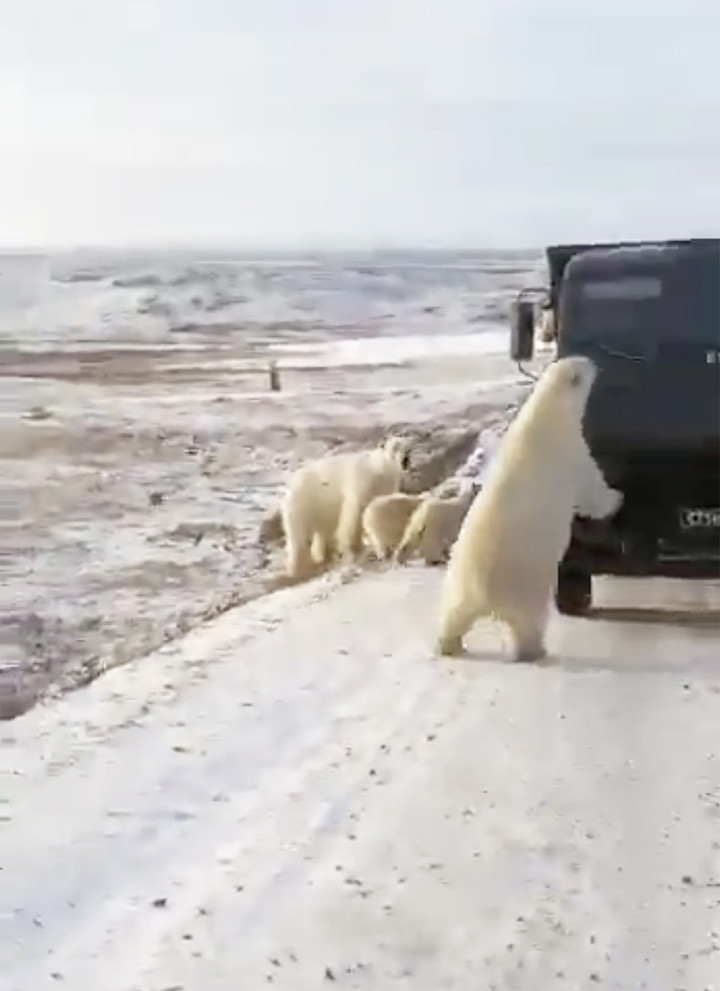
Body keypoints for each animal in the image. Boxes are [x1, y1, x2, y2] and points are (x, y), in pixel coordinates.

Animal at [282, 436, 410, 580]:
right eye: (395, 447)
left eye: (408, 448)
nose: (406, 459)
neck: (378, 470)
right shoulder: (362, 482)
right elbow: (354, 513)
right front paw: (354, 547)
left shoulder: (385, 487)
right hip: (303, 502)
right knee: (298, 536)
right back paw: (299, 569)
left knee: (323, 532)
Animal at [436, 352, 620, 664]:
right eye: (583, 365)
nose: (596, 362)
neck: (544, 416)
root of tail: (484, 596)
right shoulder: (571, 452)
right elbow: (591, 491)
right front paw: (617, 498)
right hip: (524, 588)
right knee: (528, 622)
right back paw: (535, 650)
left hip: (459, 581)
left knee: (454, 613)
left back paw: (448, 644)